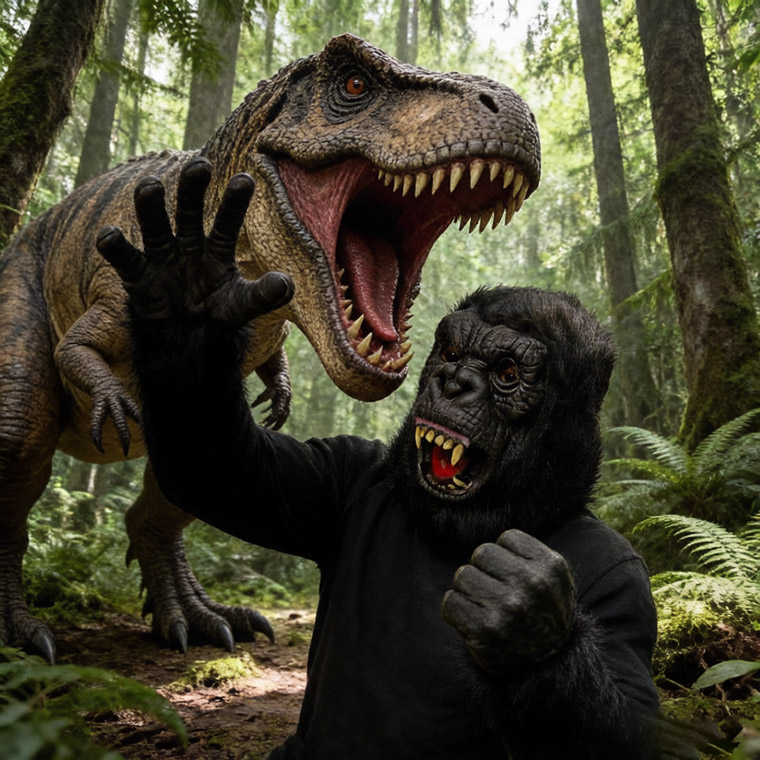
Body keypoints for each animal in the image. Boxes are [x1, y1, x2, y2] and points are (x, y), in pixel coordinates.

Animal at [97, 157, 661, 759]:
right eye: (453, 352)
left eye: (507, 373)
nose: (454, 382)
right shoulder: (338, 470)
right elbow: (219, 465)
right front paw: (187, 296)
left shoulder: (630, 579)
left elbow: (634, 731)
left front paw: (529, 625)